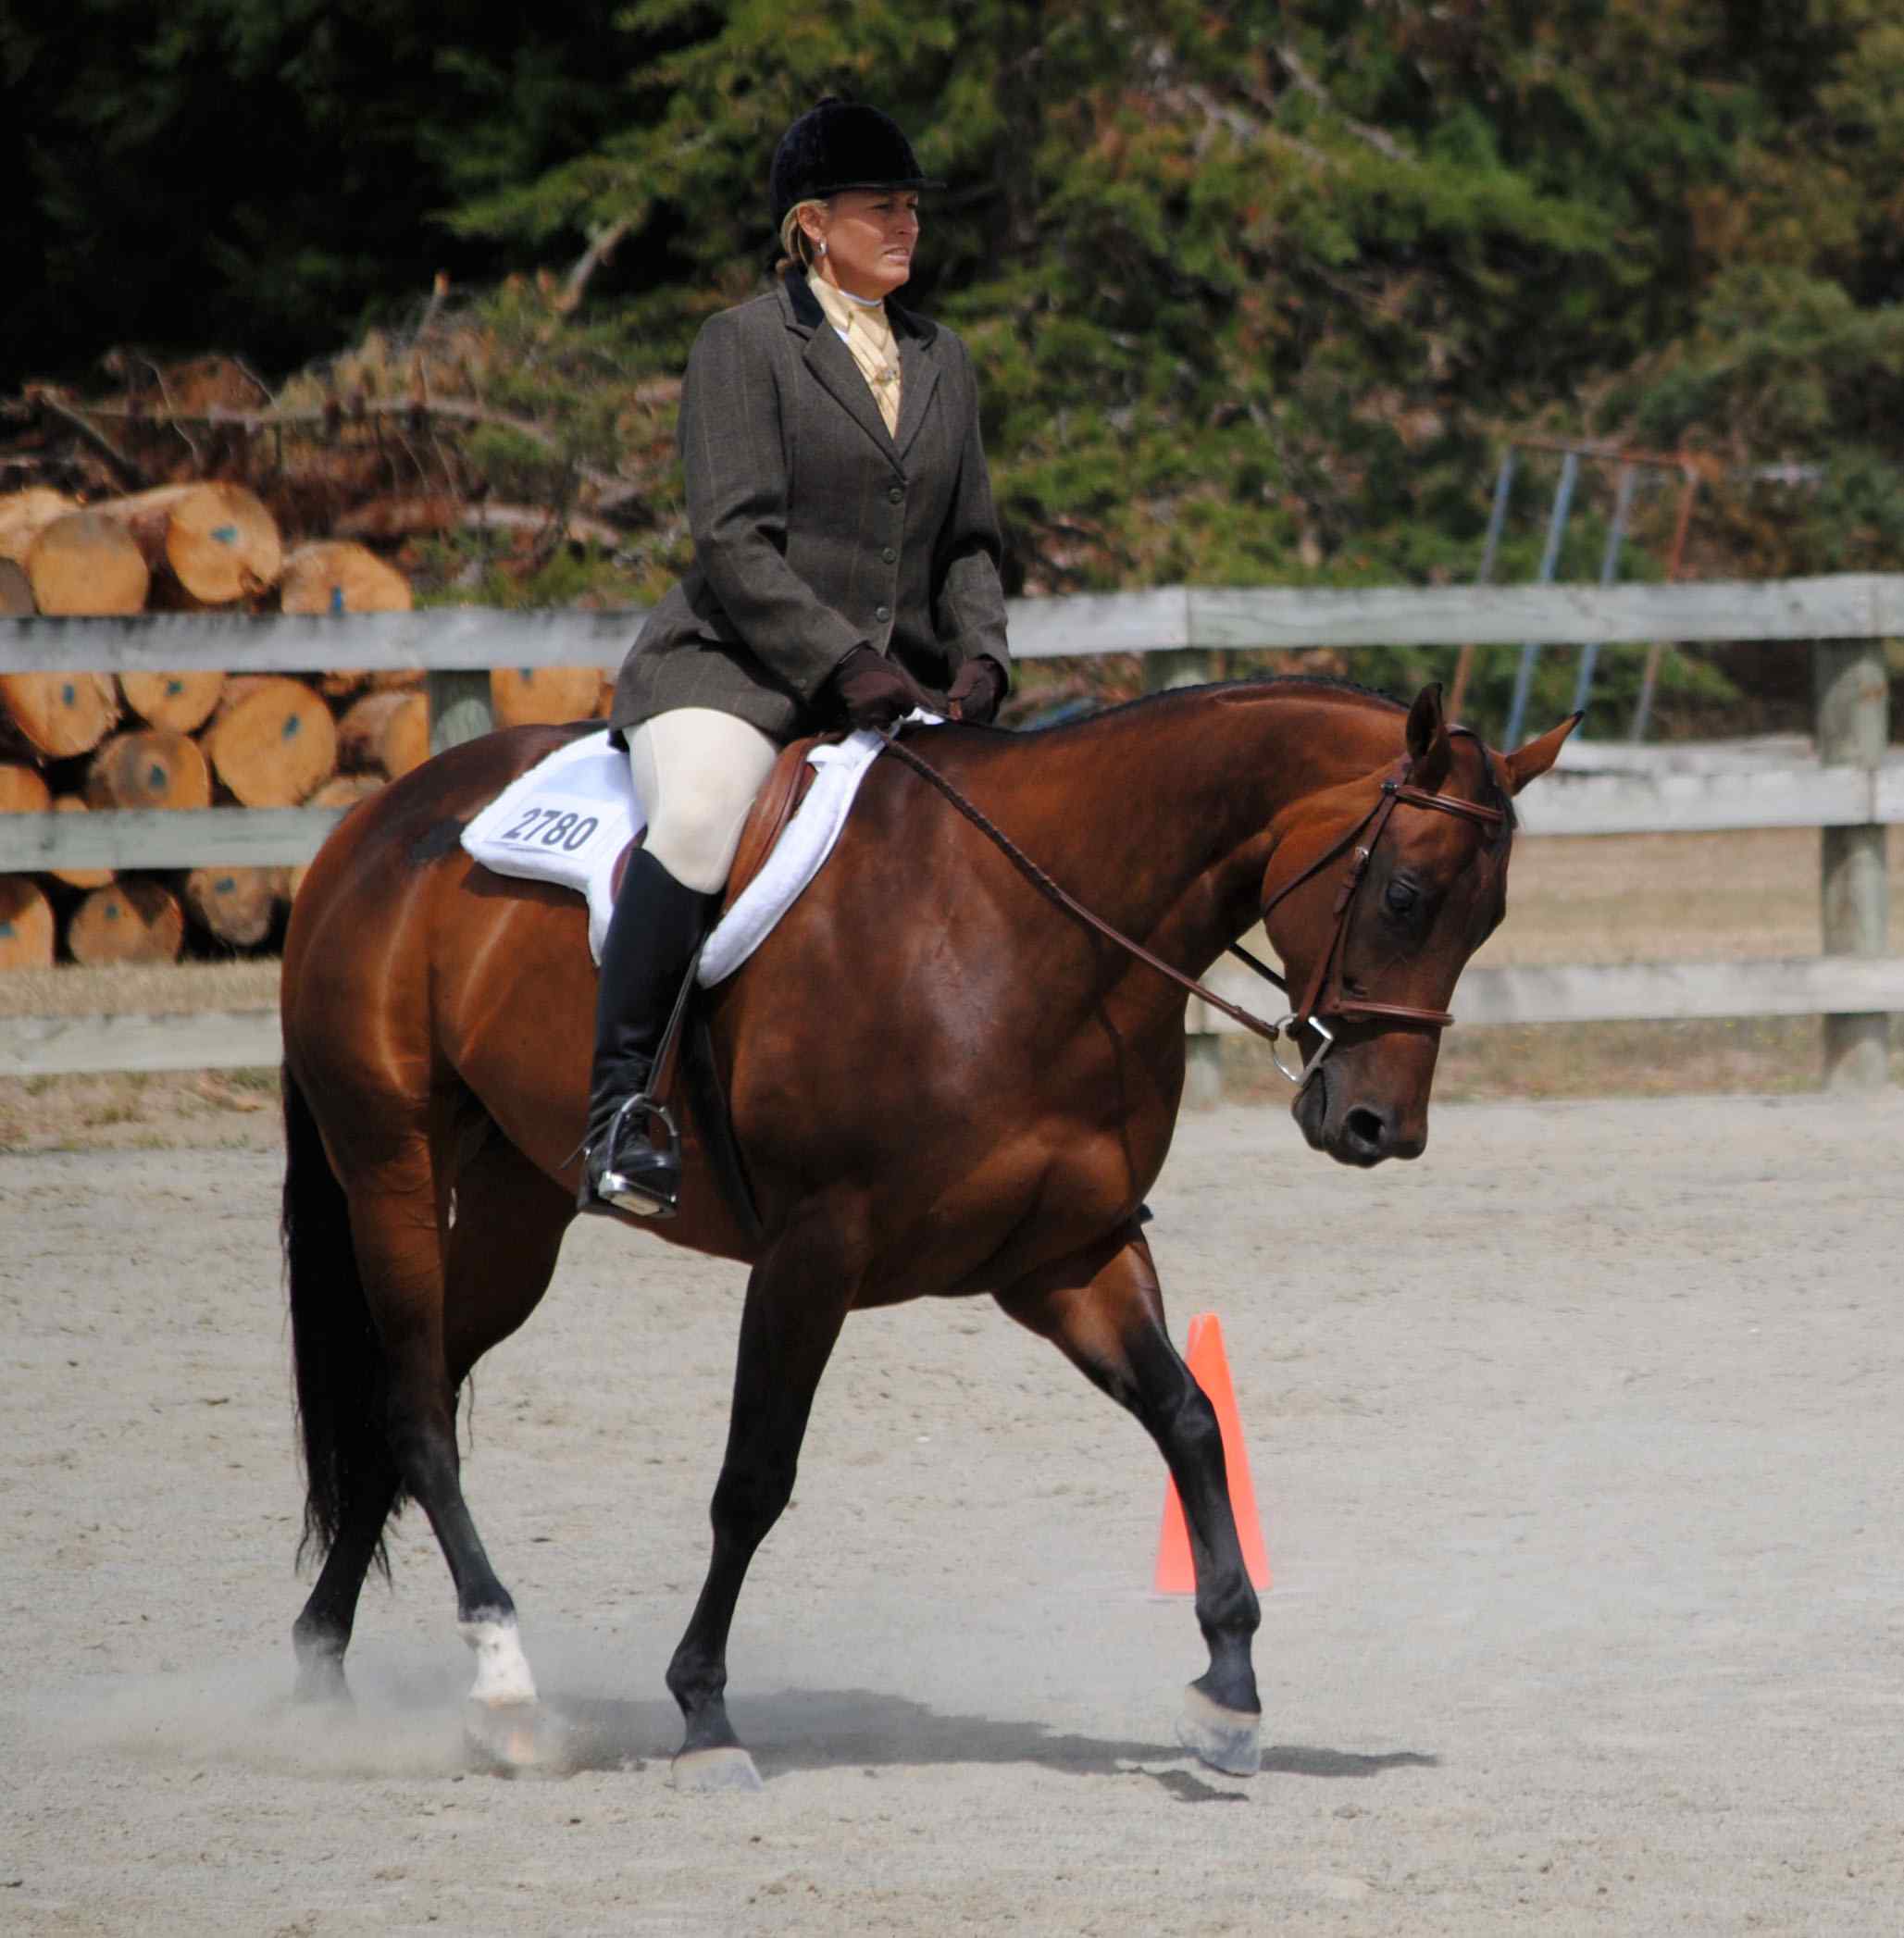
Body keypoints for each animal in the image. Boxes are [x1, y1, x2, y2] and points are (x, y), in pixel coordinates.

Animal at [279, 674, 1576, 1788]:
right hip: (392, 1167)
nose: (1375, 1127)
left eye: (1490, 916)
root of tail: (370, 822)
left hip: (517, 1204)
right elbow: (753, 1480)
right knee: (416, 1409)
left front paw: (1228, 1692)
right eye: (1403, 895)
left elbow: (1190, 1421)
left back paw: (323, 1673)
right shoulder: (812, 1252)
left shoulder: (1065, 1256)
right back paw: (503, 1688)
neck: (1027, 931)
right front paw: (703, 1713)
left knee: (402, 1406)